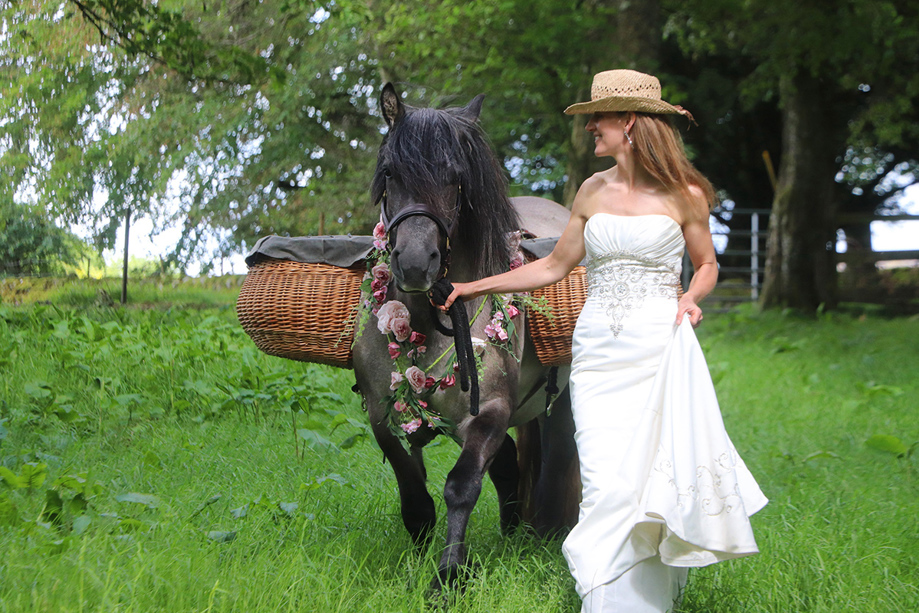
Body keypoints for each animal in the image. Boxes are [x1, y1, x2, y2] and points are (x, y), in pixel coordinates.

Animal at [354, 83, 584, 584]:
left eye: (457, 179)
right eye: (390, 172)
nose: (415, 264)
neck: (427, 321)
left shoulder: (489, 412)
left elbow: (461, 486)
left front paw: (448, 576)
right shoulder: (382, 414)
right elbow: (413, 487)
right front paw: (421, 548)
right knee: (510, 462)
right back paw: (513, 528)